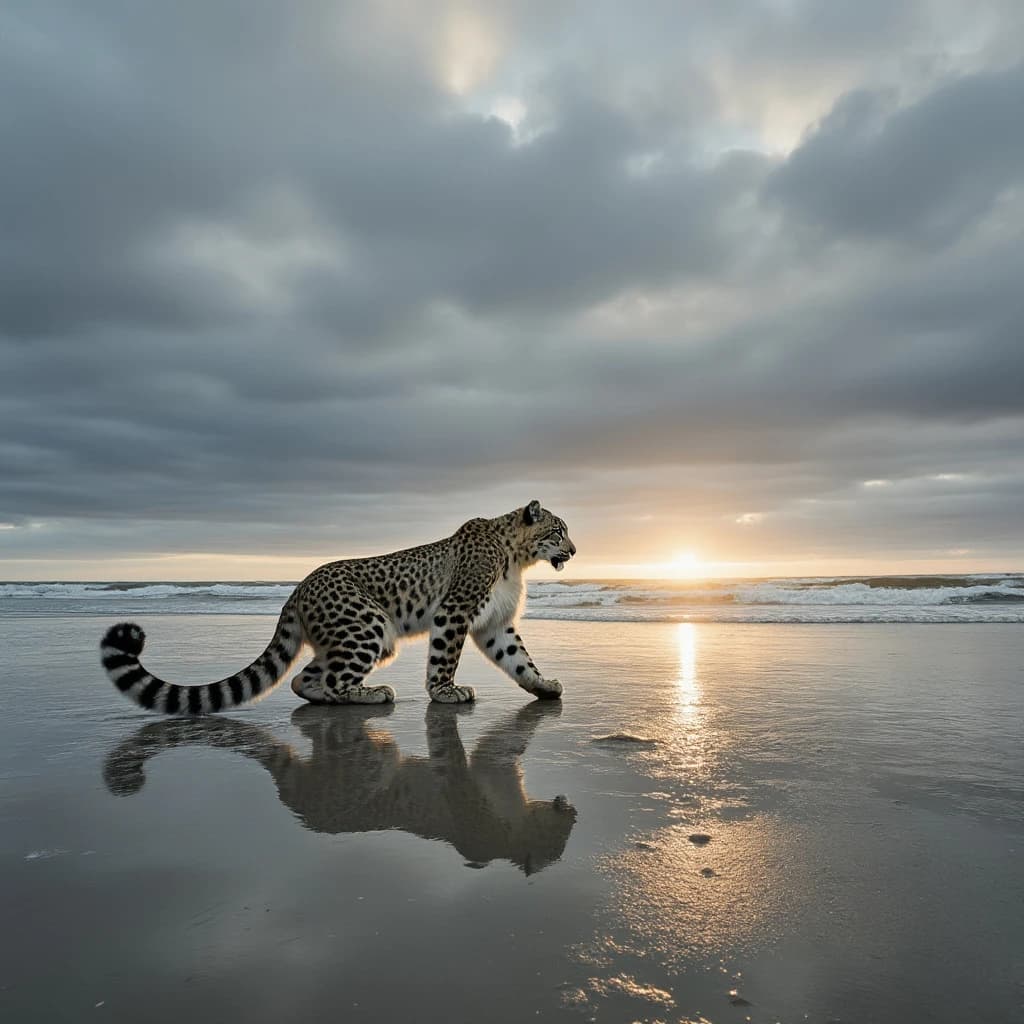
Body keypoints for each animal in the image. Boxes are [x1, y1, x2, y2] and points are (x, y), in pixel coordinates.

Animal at [100, 500, 576, 714]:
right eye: (558, 530)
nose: (573, 550)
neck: (516, 555)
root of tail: (298, 588)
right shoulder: (454, 611)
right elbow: (445, 657)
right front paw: (444, 692)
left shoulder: (494, 623)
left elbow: (518, 657)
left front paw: (542, 685)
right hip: (370, 625)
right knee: (329, 679)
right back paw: (372, 694)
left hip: (357, 636)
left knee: (305, 679)